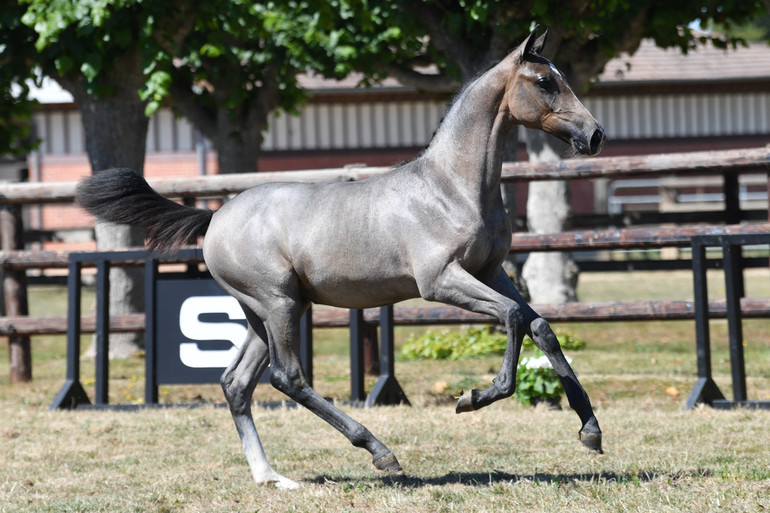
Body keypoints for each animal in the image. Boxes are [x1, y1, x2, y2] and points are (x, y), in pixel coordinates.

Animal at [79, 27, 608, 488]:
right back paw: (380, 452)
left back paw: (271, 477)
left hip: (266, 312)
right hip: (278, 304)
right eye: (545, 82)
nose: (595, 135)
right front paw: (472, 398)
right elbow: (514, 317)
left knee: (236, 383)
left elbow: (539, 325)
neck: (451, 188)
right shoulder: (441, 281)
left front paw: (590, 430)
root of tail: (216, 217)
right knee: (287, 378)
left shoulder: (490, 272)